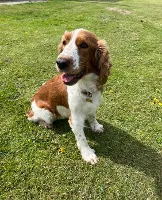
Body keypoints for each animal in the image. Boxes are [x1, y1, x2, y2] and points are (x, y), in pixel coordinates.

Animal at [27, 28, 112, 164]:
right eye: (64, 42)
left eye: (84, 45)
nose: (60, 62)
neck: (85, 85)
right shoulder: (75, 118)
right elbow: (82, 138)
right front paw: (88, 154)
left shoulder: (93, 106)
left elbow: (92, 116)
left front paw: (96, 126)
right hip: (47, 113)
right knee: (33, 118)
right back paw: (45, 123)